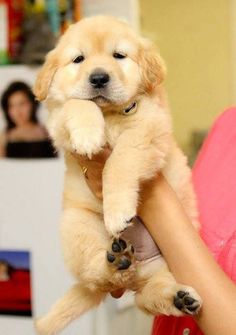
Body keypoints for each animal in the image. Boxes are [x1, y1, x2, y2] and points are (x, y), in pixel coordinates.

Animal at [34, 15, 202, 335]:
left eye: (118, 55)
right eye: (79, 59)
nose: (99, 78)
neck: (110, 114)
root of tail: (137, 270)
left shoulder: (148, 130)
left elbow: (119, 162)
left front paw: (117, 212)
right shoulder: (58, 120)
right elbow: (78, 103)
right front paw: (88, 135)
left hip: (166, 263)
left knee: (146, 297)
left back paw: (178, 297)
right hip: (77, 225)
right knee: (99, 276)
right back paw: (117, 262)